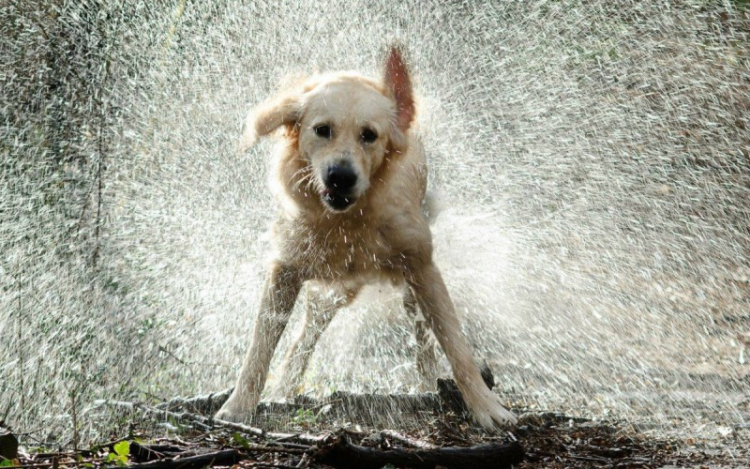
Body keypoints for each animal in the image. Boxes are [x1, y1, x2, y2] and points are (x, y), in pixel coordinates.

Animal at [217, 46, 516, 428]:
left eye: (369, 135)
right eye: (322, 130)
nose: (340, 176)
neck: (348, 221)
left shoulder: (422, 268)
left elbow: (456, 346)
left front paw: (486, 407)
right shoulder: (285, 270)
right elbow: (259, 348)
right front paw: (238, 406)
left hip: (406, 287)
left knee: (422, 337)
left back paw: (427, 383)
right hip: (332, 292)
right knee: (304, 338)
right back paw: (284, 387)